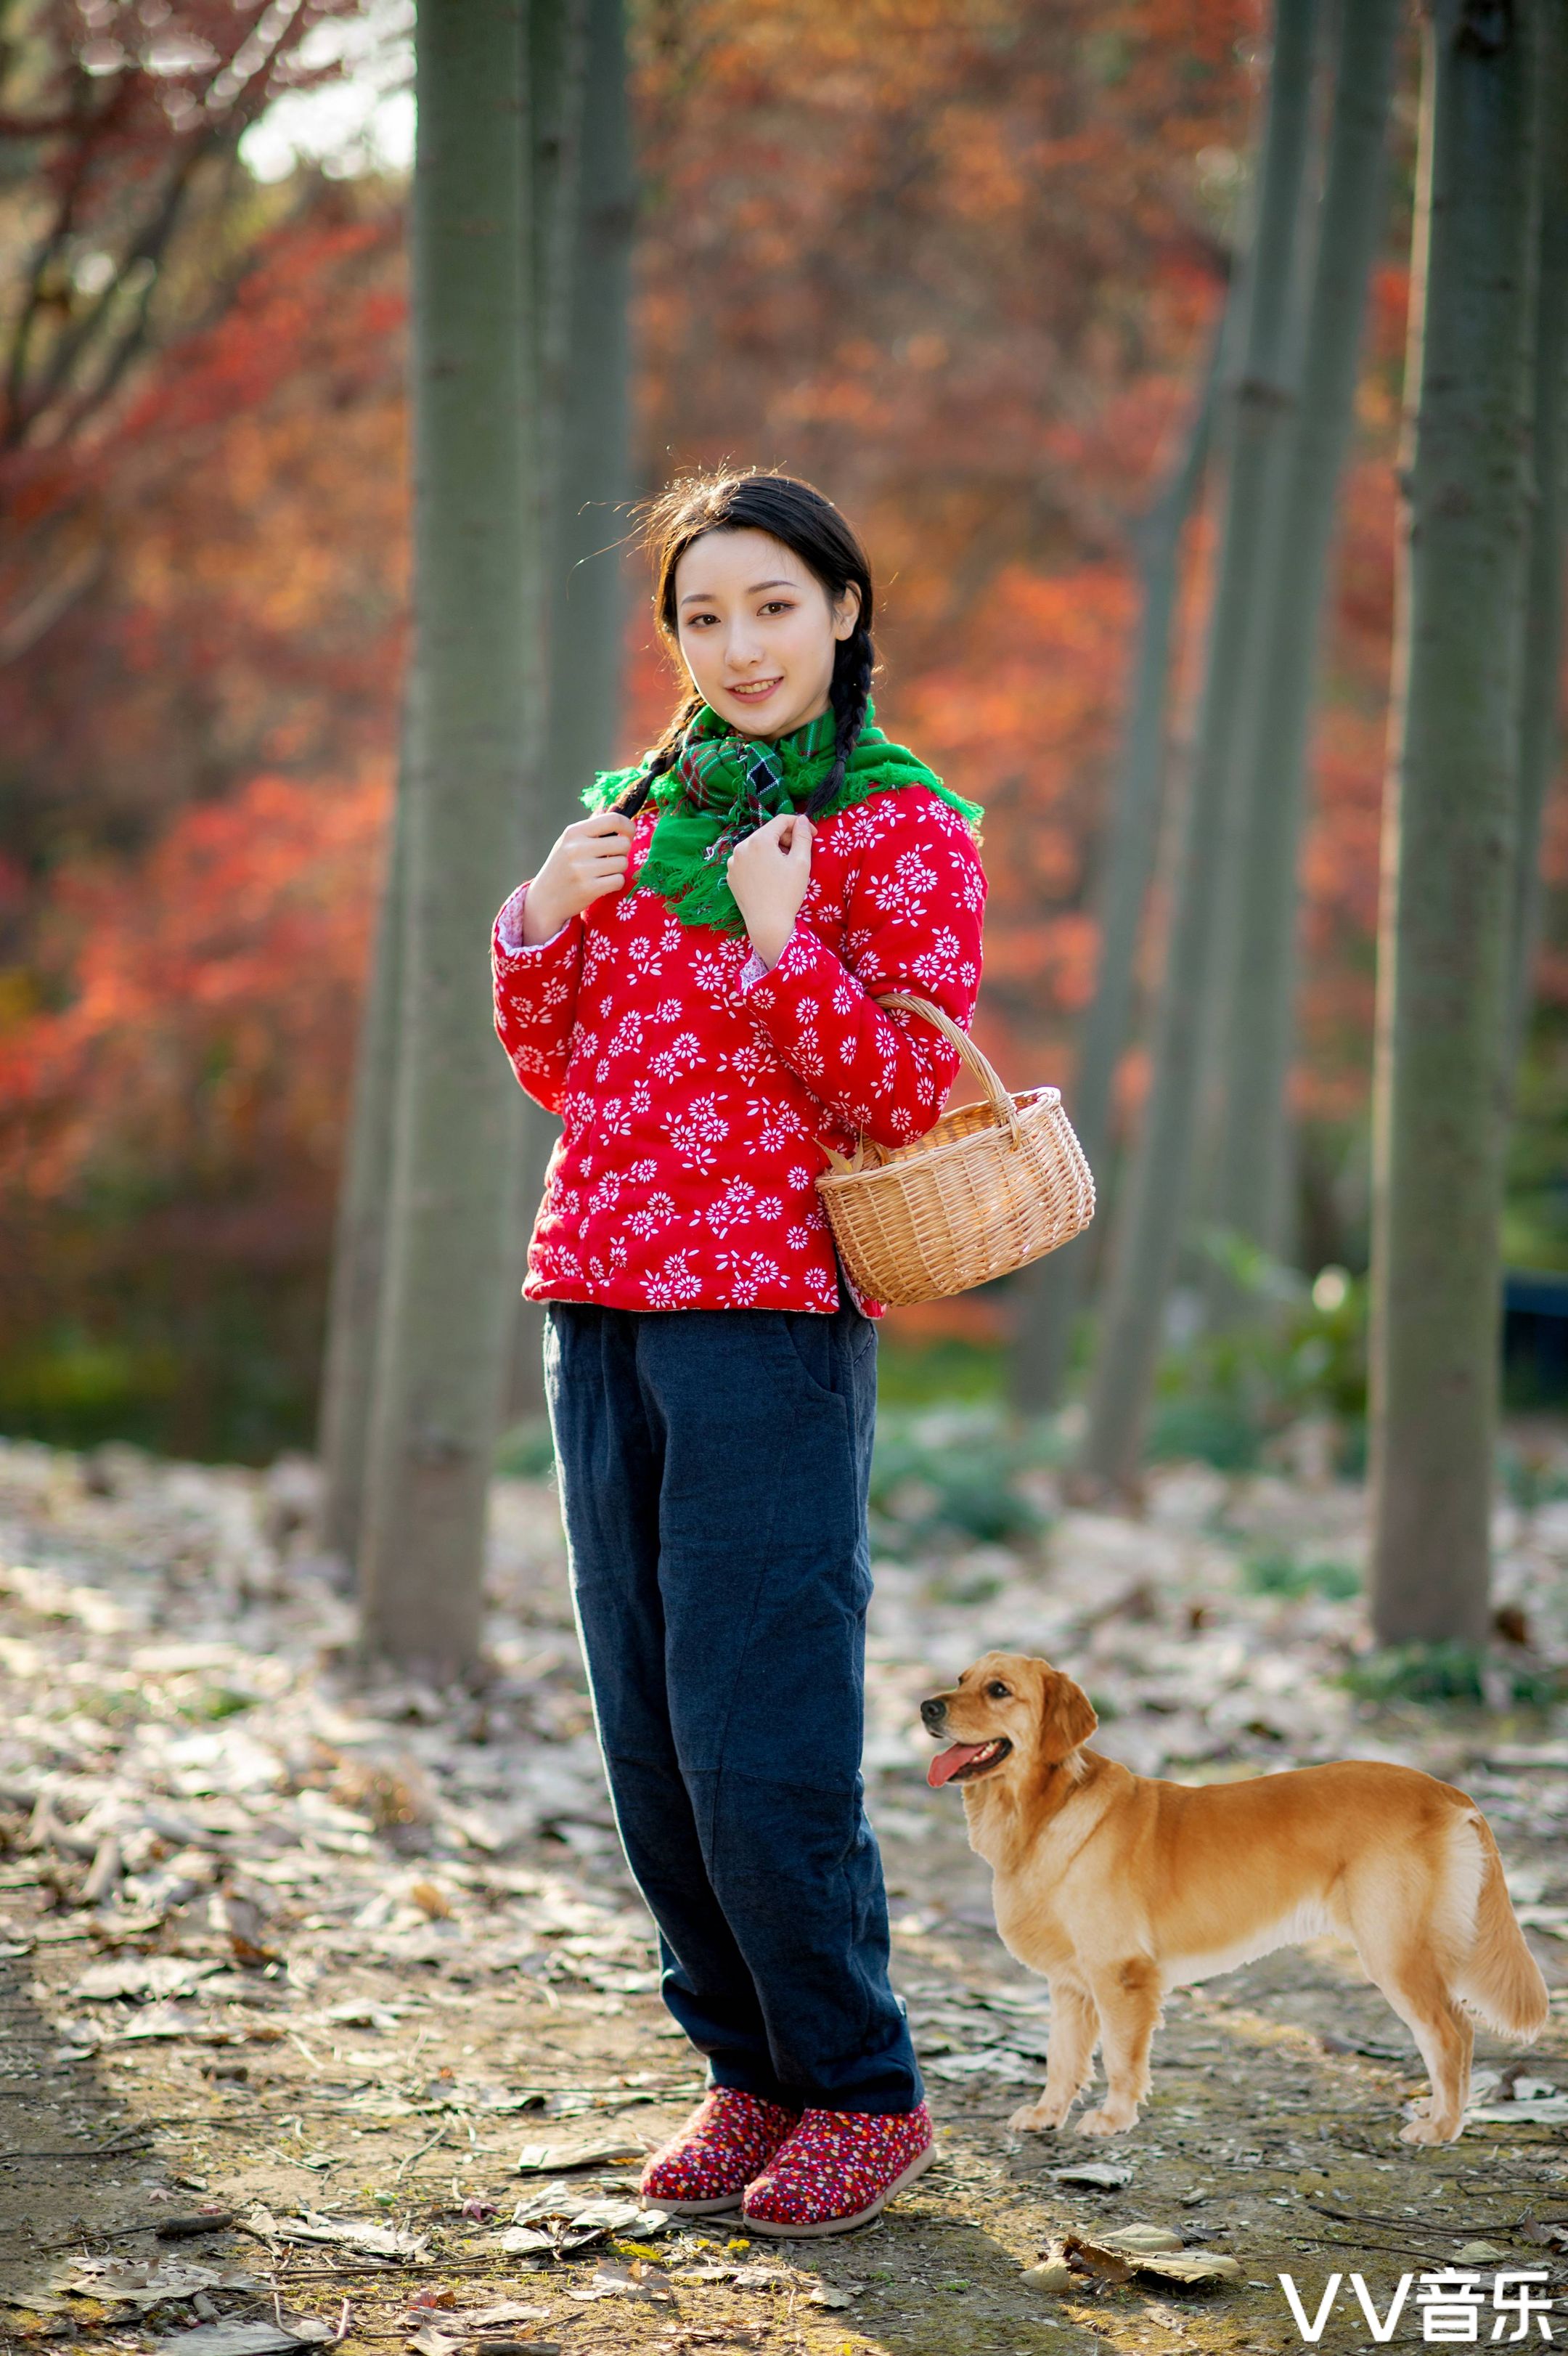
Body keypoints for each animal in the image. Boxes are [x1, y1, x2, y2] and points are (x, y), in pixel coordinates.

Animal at [918, 1649, 1535, 2148]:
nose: (926, 1707)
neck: (1046, 1810)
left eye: (999, 1689)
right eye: (962, 1678)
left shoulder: (1122, 1974)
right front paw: (1048, 2114)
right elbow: (1062, 2057)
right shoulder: (1071, 1985)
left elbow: (1119, 2057)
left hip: (1395, 1949)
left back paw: (1443, 2126)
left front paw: (1113, 2119)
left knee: (1452, 2033)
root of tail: (1449, 1792)